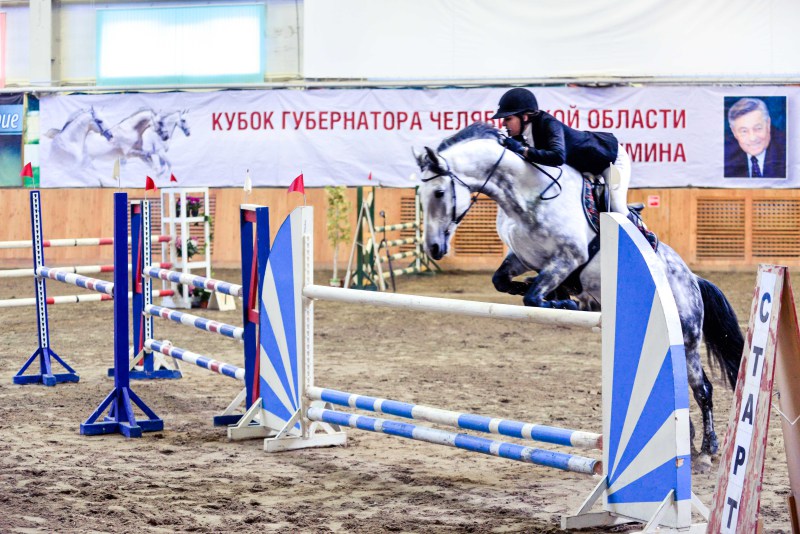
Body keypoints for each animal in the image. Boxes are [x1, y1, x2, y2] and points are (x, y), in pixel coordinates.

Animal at [413, 122, 744, 465]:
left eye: (439, 192)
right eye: (421, 196)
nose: (434, 248)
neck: (525, 196)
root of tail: (691, 278)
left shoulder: (568, 258)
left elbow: (535, 296)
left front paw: (564, 302)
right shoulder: (523, 258)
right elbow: (503, 282)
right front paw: (554, 294)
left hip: (687, 335)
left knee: (702, 388)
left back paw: (707, 450)